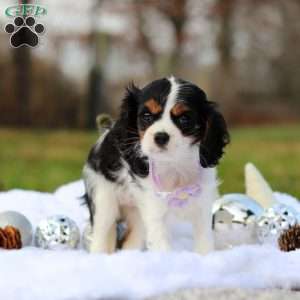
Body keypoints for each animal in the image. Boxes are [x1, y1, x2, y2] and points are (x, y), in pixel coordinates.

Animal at [83, 76, 229, 254]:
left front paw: (206, 256)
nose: (161, 136)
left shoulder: (202, 201)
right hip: (104, 198)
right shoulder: (153, 204)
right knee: (102, 233)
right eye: (146, 116)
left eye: (184, 119)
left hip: (136, 215)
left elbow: (204, 239)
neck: (173, 163)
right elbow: (161, 243)